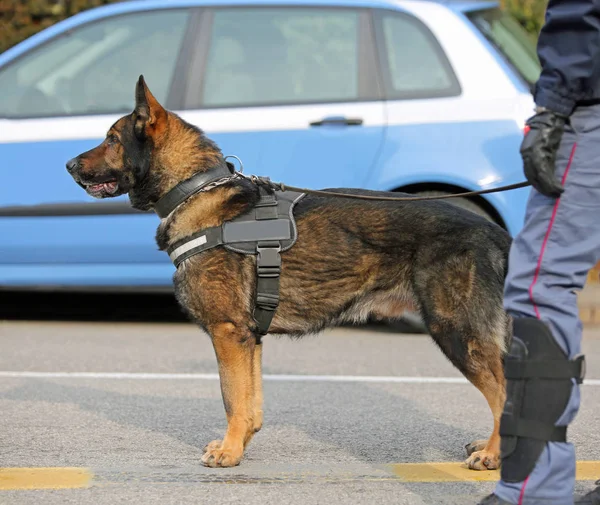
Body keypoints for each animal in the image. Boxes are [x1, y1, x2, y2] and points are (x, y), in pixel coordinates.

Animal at [68, 77, 512, 470]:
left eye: (112, 139)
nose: (68, 164)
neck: (194, 189)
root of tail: (495, 231)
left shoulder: (228, 333)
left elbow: (231, 397)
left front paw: (229, 453)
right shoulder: (248, 338)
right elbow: (250, 403)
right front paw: (239, 444)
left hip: (456, 332)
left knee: (504, 392)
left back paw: (493, 454)